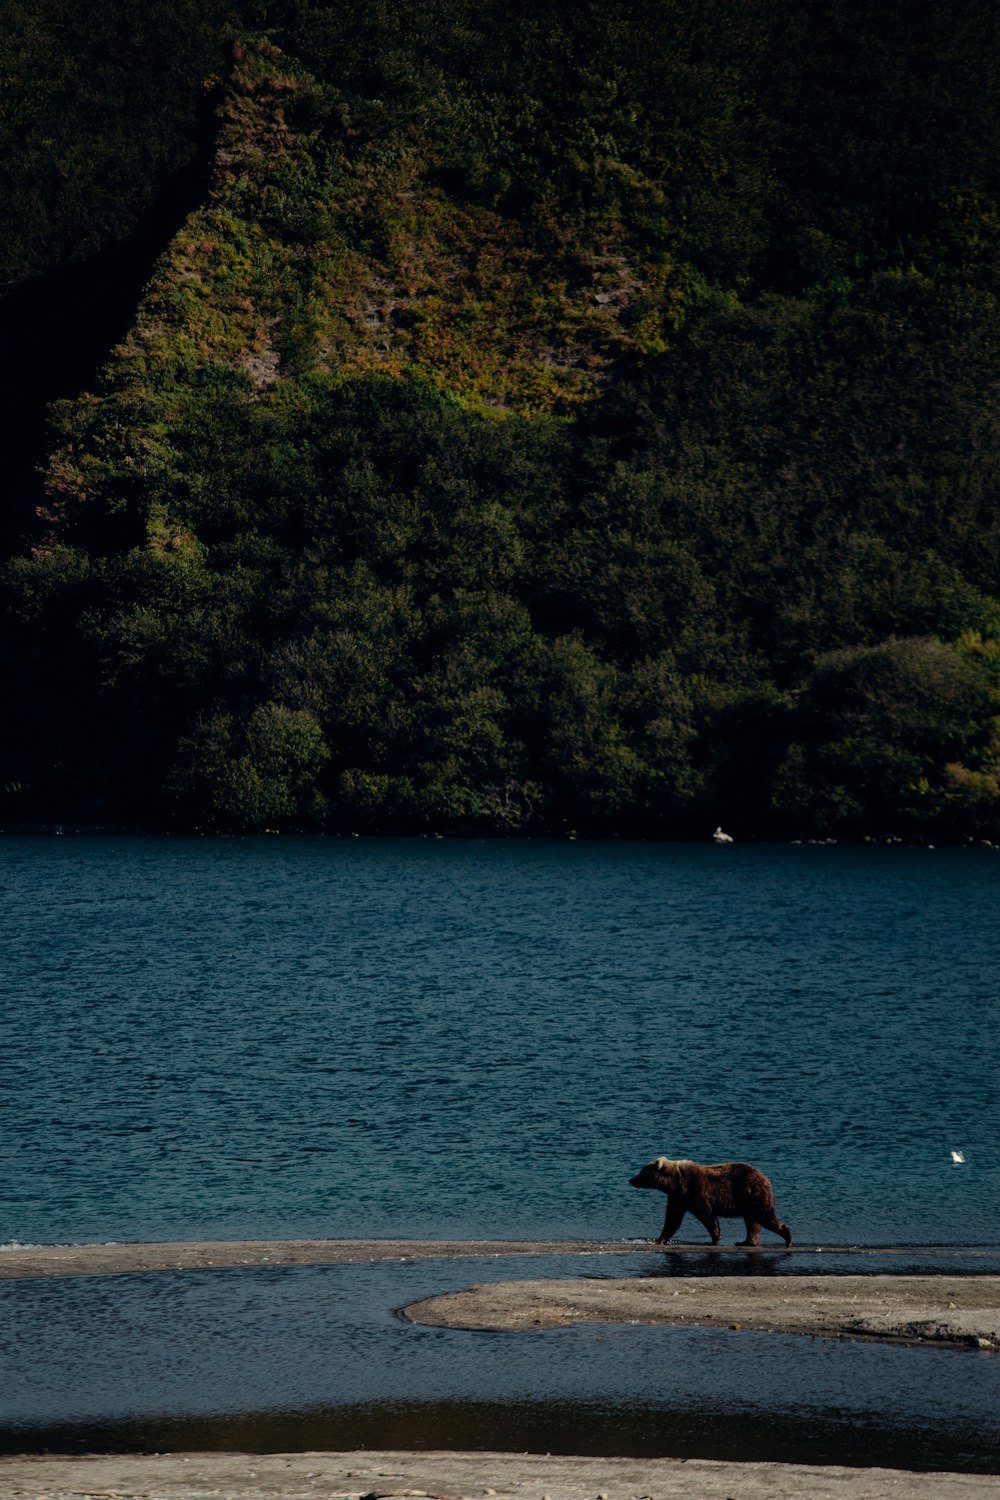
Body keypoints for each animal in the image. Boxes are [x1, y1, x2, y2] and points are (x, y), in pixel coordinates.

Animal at [629, 1152, 791, 1248]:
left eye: (641, 1172)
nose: (631, 1180)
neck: (674, 1183)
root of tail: (766, 1179)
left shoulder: (695, 1190)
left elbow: (706, 1214)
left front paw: (714, 1239)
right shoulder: (677, 1198)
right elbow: (672, 1220)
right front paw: (658, 1240)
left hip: (753, 1194)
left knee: (763, 1216)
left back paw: (787, 1235)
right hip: (749, 1200)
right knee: (752, 1222)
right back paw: (747, 1242)